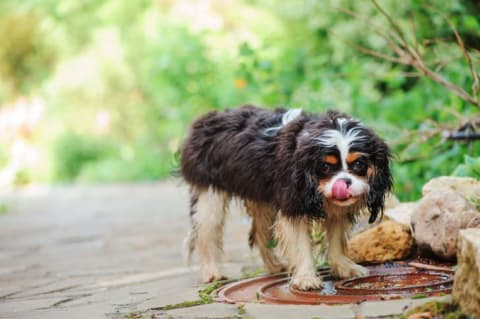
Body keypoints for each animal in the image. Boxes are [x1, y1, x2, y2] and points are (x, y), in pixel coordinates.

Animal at [178, 106, 392, 292]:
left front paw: (345, 268)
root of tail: (207, 118)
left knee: (260, 233)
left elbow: (336, 240)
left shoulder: (335, 211)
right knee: (206, 235)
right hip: (209, 197)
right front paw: (306, 279)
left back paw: (274, 266)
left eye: (359, 165)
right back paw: (212, 273)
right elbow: (300, 244)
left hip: (262, 203)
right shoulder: (293, 205)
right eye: (325, 167)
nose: (344, 182)